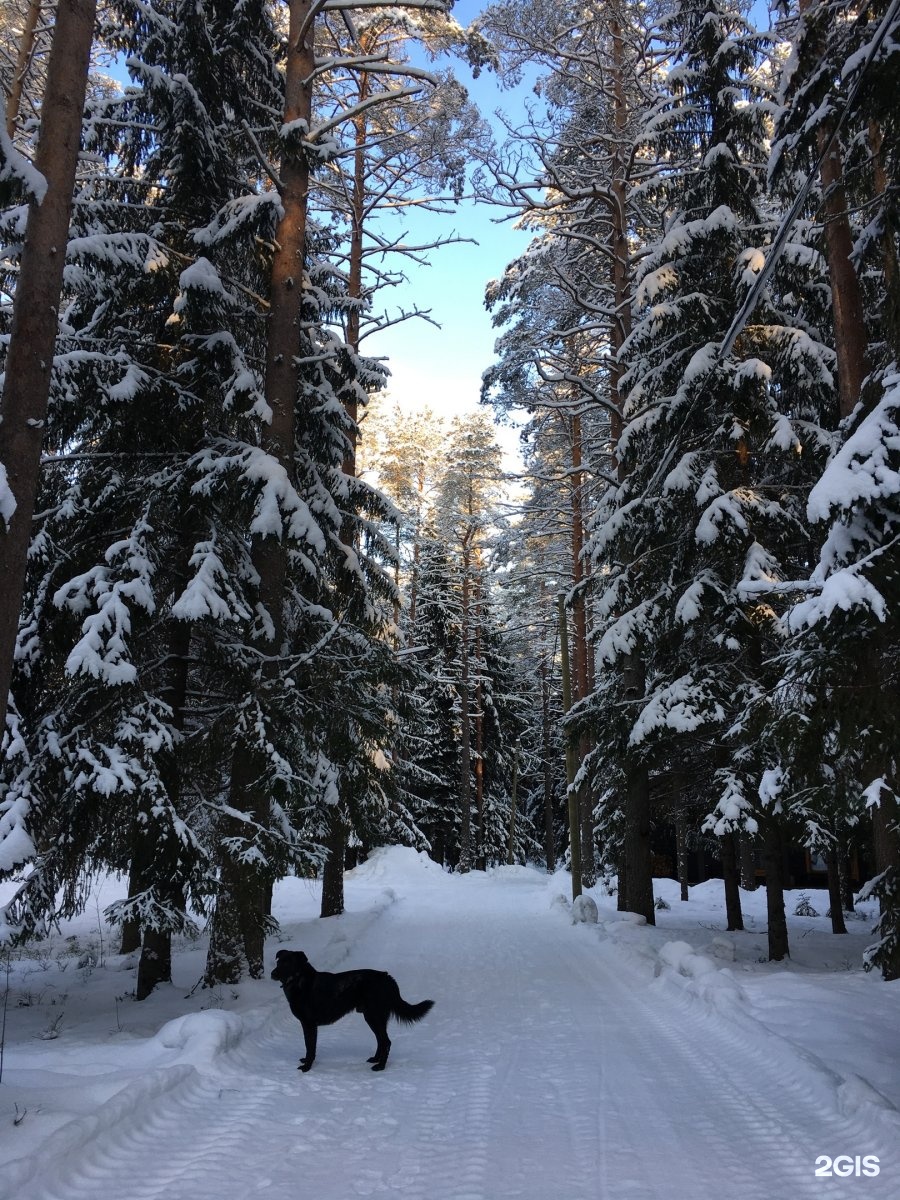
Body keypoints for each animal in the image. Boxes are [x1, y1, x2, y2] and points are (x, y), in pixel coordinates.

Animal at [270, 950, 434, 1075]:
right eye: (278, 962)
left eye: (287, 963)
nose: (272, 973)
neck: (298, 981)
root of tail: (387, 978)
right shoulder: (308, 1025)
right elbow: (309, 1046)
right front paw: (306, 1061)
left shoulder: (309, 1024)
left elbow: (310, 1047)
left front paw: (307, 1067)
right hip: (371, 1017)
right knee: (381, 1040)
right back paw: (375, 1059)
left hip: (375, 1016)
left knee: (386, 1042)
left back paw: (380, 1066)